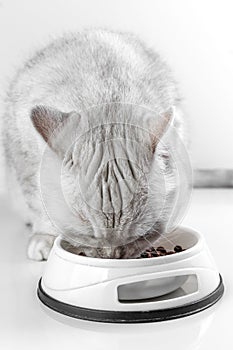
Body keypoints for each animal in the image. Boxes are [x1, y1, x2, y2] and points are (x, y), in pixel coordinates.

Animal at [2, 28, 189, 260]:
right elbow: (39, 204)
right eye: (89, 234)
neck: (106, 97)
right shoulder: (23, 156)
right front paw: (44, 236)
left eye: (136, 236)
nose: (111, 255)